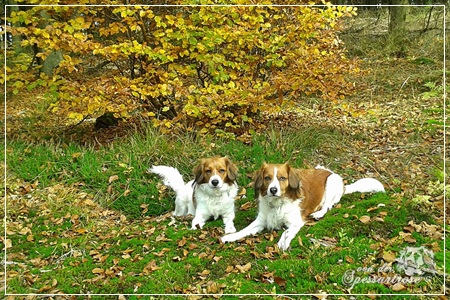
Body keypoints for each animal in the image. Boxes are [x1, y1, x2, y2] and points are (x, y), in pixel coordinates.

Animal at [220, 163, 384, 250]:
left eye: (282, 178)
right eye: (267, 178)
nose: (273, 190)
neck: (278, 203)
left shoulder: (296, 222)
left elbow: (287, 232)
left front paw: (283, 242)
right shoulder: (261, 221)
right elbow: (244, 230)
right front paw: (230, 236)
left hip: (331, 182)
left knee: (328, 206)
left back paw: (318, 213)